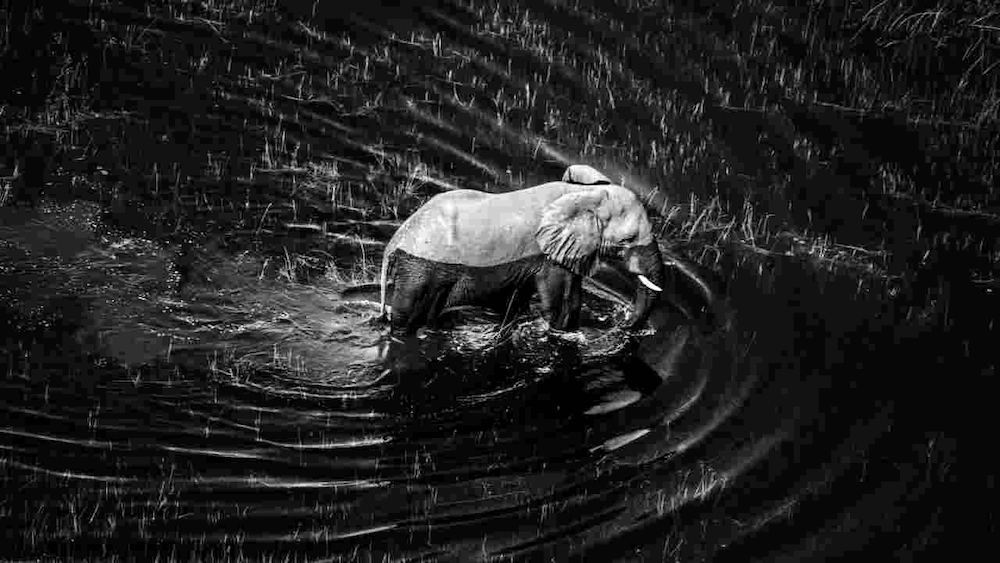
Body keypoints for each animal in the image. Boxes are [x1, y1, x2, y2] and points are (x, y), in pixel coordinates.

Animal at [376, 165, 712, 338]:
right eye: (626, 241)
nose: (624, 324)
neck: (583, 193)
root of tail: (396, 240)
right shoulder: (548, 258)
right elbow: (560, 302)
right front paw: (562, 333)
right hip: (420, 270)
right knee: (406, 315)